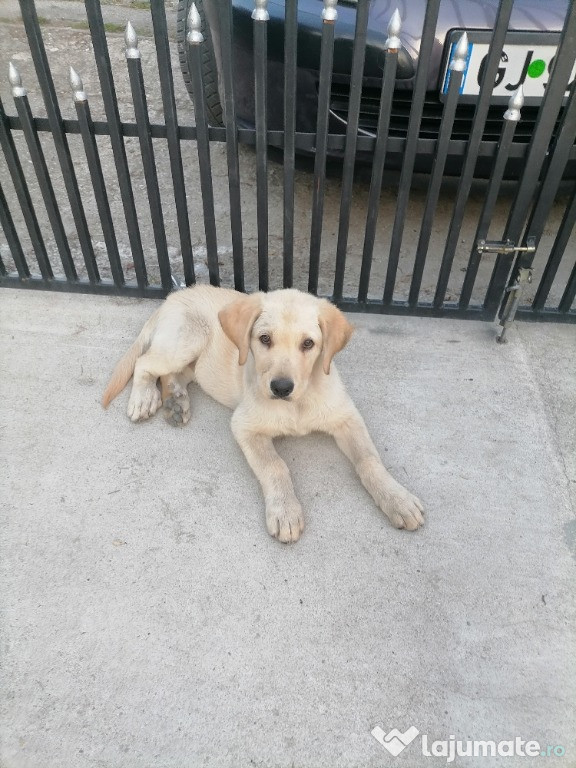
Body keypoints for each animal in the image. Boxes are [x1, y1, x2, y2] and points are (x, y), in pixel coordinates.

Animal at [102, 284, 424, 544]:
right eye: (265, 339)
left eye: (308, 343)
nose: (281, 388)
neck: (298, 403)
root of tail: (173, 296)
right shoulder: (245, 426)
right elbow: (274, 466)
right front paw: (285, 511)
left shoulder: (347, 417)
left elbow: (370, 460)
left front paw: (397, 499)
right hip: (186, 342)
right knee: (145, 363)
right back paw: (144, 398)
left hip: (196, 362)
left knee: (173, 375)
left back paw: (176, 402)